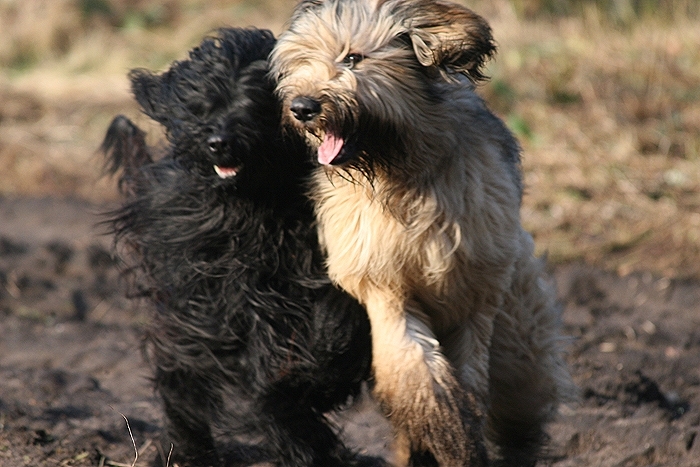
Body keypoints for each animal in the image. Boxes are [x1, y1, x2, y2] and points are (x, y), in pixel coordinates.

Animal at [100, 29, 378, 467]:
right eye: (201, 104)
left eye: (257, 102)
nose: (220, 142)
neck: (257, 204)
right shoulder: (223, 296)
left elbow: (339, 318)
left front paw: (323, 377)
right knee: (183, 382)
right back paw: (192, 451)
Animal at [270, 1, 572, 466]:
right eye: (302, 60)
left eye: (353, 57)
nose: (302, 106)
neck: (402, 171)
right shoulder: (385, 288)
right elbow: (417, 377)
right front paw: (447, 434)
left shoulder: (476, 295)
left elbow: (470, 383)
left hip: (520, 333)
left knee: (521, 398)